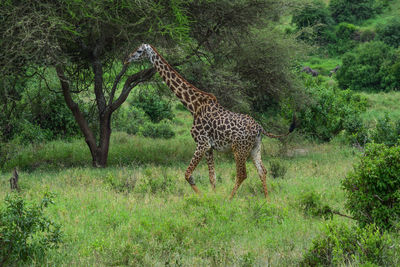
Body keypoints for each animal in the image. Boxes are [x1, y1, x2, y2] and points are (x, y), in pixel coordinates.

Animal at [123, 44, 296, 199]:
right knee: (263, 171)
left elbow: (188, 174)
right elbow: (212, 177)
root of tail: (260, 127)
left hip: (239, 149)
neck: (193, 106)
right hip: (255, 148)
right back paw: (267, 200)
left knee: (242, 174)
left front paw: (204, 197)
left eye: (139, 51)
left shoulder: (202, 143)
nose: (126, 59)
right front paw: (212, 197)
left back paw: (229, 199)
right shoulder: (209, 147)